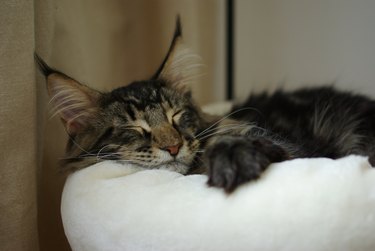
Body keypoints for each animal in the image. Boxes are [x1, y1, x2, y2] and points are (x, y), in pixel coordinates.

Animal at [36, 17, 375, 192]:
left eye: (176, 116)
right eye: (134, 129)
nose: (173, 147)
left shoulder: (297, 151)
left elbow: (244, 143)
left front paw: (233, 160)